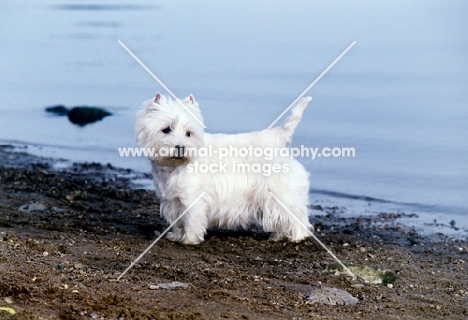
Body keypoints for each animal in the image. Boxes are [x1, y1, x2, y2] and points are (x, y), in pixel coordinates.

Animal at [135, 94, 312, 244]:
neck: (174, 166)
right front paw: (176, 236)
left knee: (296, 216)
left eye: (188, 133)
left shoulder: (193, 200)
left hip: (282, 193)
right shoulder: (173, 200)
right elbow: (178, 222)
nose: (180, 148)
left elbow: (191, 220)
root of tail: (279, 138)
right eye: (166, 129)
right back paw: (280, 235)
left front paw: (189, 240)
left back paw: (296, 237)